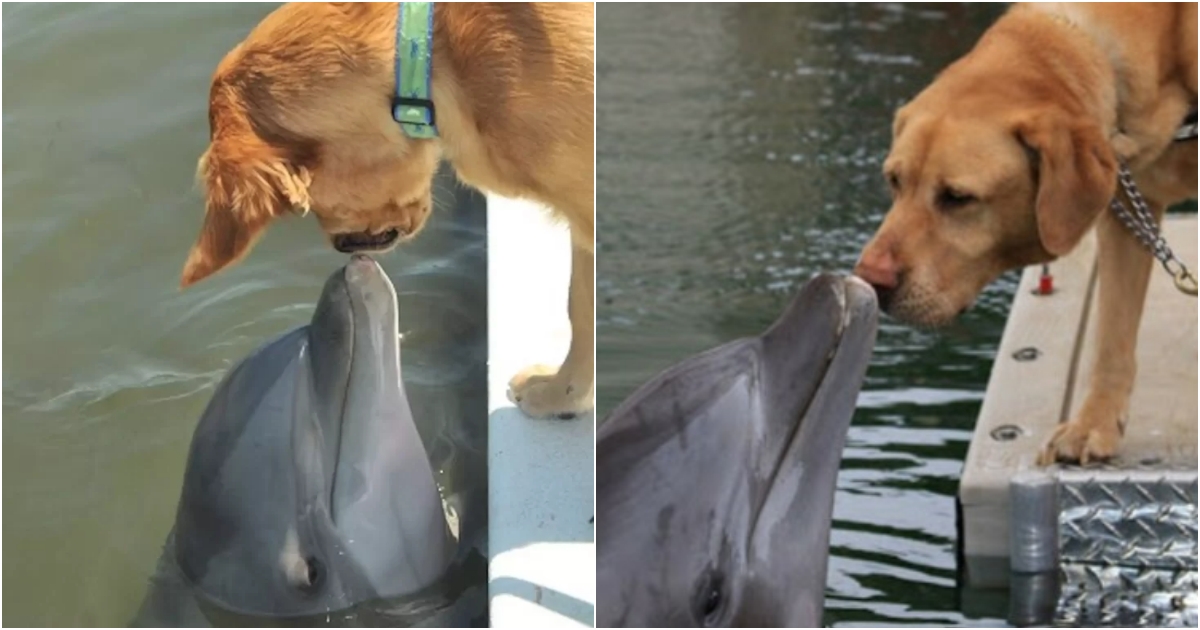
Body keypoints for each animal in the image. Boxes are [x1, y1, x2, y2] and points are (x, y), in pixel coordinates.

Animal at [178, 4, 595, 420]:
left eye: (311, 201)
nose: (345, 248)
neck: (431, 54)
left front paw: (557, 394)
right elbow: (579, 305)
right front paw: (562, 395)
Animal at [859, 2, 1195, 463]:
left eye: (957, 197)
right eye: (894, 180)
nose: (870, 279)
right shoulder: (1129, 206)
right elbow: (1112, 334)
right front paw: (1094, 426)